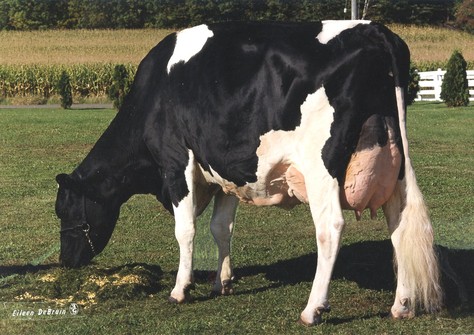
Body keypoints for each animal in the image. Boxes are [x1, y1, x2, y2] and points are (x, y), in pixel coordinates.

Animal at [56, 21, 444, 326]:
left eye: (66, 211)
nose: (65, 262)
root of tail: (375, 30)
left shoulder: (176, 161)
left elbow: (186, 229)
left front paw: (181, 289)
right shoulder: (226, 169)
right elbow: (220, 227)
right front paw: (222, 282)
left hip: (321, 166)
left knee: (330, 227)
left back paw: (313, 309)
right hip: (394, 163)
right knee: (399, 225)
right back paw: (401, 305)